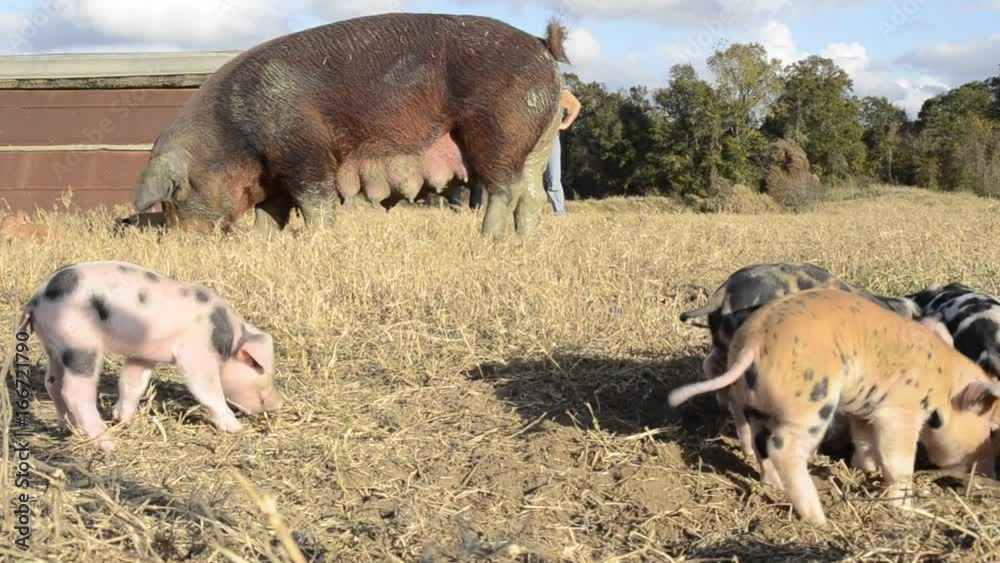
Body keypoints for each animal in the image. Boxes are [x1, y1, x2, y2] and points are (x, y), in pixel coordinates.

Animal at [17, 261, 283, 452]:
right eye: (260, 369)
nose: (279, 404)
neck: (227, 340)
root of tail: (36, 300)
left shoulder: (143, 355)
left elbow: (132, 383)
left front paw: (124, 419)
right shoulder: (196, 355)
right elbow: (207, 391)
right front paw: (237, 428)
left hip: (55, 347)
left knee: (52, 383)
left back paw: (68, 429)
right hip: (81, 344)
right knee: (75, 392)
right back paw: (108, 444)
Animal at [132, 13, 570, 239]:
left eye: (174, 194)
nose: (178, 239)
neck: (234, 137)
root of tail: (541, 45)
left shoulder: (304, 151)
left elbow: (315, 200)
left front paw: (317, 240)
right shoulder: (275, 173)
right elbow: (271, 210)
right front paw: (262, 240)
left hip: (500, 129)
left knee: (504, 189)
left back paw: (487, 238)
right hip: (540, 139)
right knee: (531, 193)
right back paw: (524, 241)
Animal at [668, 289, 1000, 527]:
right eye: (991, 429)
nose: (987, 472)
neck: (944, 385)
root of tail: (753, 344)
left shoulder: (865, 410)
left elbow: (864, 442)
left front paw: (865, 470)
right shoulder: (900, 411)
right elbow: (898, 461)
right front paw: (905, 510)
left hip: (759, 407)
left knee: (762, 446)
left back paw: (773, 486)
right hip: (812, 402)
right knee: (783, 449)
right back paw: (820, 520)